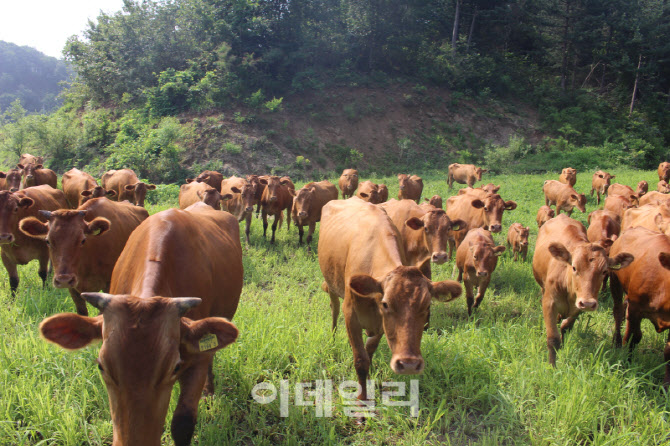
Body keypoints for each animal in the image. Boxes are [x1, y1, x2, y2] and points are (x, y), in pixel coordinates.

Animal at [318, 198, 461, 410]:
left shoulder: (380, 325)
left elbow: (369, 352)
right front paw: (361, 399)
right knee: (334, 308)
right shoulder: (351, 314)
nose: (409, 364)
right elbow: (360, 359)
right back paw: (333, 336)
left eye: (427, 306)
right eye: (386, 304)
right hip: (330, 283)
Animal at [532, 214, 633, 366]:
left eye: (604, 271)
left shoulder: (578, 306)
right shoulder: (549, 303)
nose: (588, 303)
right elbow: (553, 338)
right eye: (574, 267)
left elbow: (566, 327)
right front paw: (552, 366)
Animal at [609, 227, 670, 387]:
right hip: (615, 280)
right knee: (618, 312)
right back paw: (617, 342)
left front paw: (666, 386)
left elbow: (669, 351)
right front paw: (626, 364)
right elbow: (633, 337)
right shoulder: (635, 308)